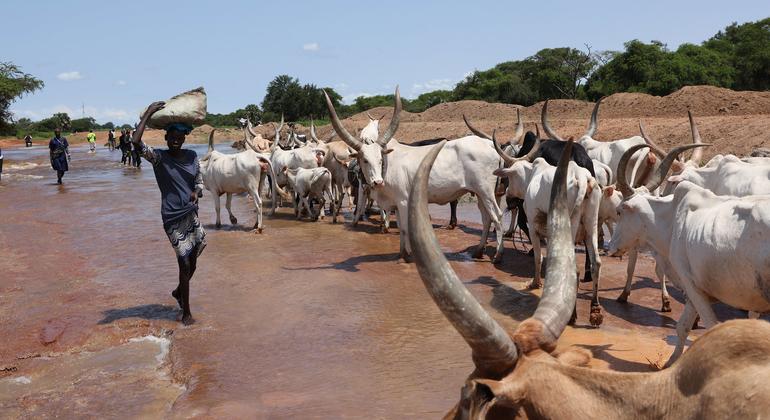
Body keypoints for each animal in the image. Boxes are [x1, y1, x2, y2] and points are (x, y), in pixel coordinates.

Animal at [322, 87, 504, 260]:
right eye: (364, 160)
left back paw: (497, 255)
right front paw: (402, 254)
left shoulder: (403, 201)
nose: (377, 182)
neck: (388, 167)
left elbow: (404, 228)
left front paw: (408, 255)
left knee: (497, 215)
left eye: (380, 158)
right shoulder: (395, 203)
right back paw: (479, 251)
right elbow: (400, 228)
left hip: (486, 191)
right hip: (479, 193)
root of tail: (489, 144)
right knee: (487, 218)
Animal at [404, 139, 768, 418]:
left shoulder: (695, 287)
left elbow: (540, 255)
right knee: (595, 259)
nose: (507, 194)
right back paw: (596, 307)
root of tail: (585, 180)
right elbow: (682, 327)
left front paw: (534, 281)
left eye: (621, 211)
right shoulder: (696, 288)